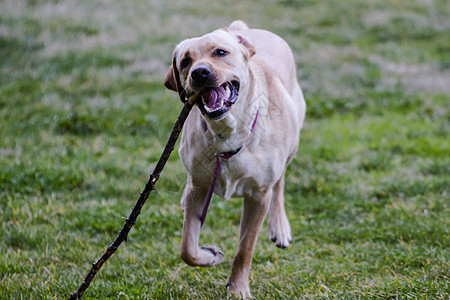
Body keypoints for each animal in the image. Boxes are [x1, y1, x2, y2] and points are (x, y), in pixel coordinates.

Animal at [163, 20, 306, 298]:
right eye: (185, 61)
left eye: (220, 52)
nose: (199, 73)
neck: (227, 135)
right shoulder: (197, 188)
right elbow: (187, 248)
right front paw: (209, 256)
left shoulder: (259, 196)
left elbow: (244, 249)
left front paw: (238, 289)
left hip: (292, 141)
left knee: (281, 181)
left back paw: (280, 227)